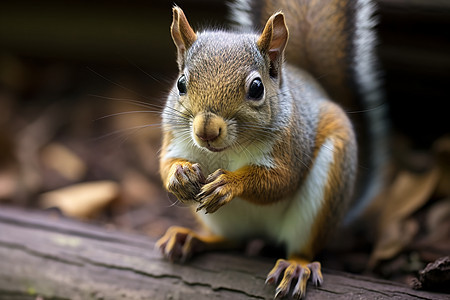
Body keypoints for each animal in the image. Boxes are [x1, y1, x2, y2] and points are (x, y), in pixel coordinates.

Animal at [156, 0, 384, 298]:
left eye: (256, 87)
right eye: (181, 83)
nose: (206, 131)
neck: (227, 151)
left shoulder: (291, 147)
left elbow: (279, 182)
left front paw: (229, 183)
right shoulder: (174, 138)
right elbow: (165, 165)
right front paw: (180, 175)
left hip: (321, 196)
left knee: (301, 247)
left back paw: (297, 267)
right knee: (231, 240)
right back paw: (192, 238)